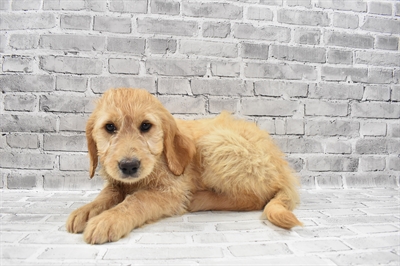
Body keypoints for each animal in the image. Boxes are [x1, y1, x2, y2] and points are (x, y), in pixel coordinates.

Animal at [66, 88, 304, 244]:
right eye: (109, 127)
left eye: (146, 126)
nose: (129, 166)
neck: (159, 160)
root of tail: (283, 168)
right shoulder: (118, 181)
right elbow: (108, 193)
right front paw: (87, 210)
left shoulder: (172, 191)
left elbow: (138, 199)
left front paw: (109, 219)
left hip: (215, 144)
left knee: (255, 198)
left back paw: (200, 199)